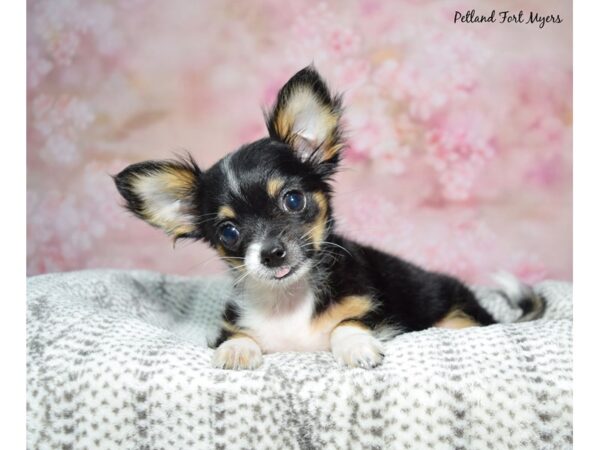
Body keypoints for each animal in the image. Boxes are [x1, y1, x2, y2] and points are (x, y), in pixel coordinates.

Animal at [115, 66, 548, 370]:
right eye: (229, 231)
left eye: (293, 200)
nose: (271, 253)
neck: (290, 302)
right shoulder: (233, 324)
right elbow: (235, 337)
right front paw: (235, 352)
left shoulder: (373, 311)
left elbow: (347, 324)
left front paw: (357, 348)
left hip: (454, 315)